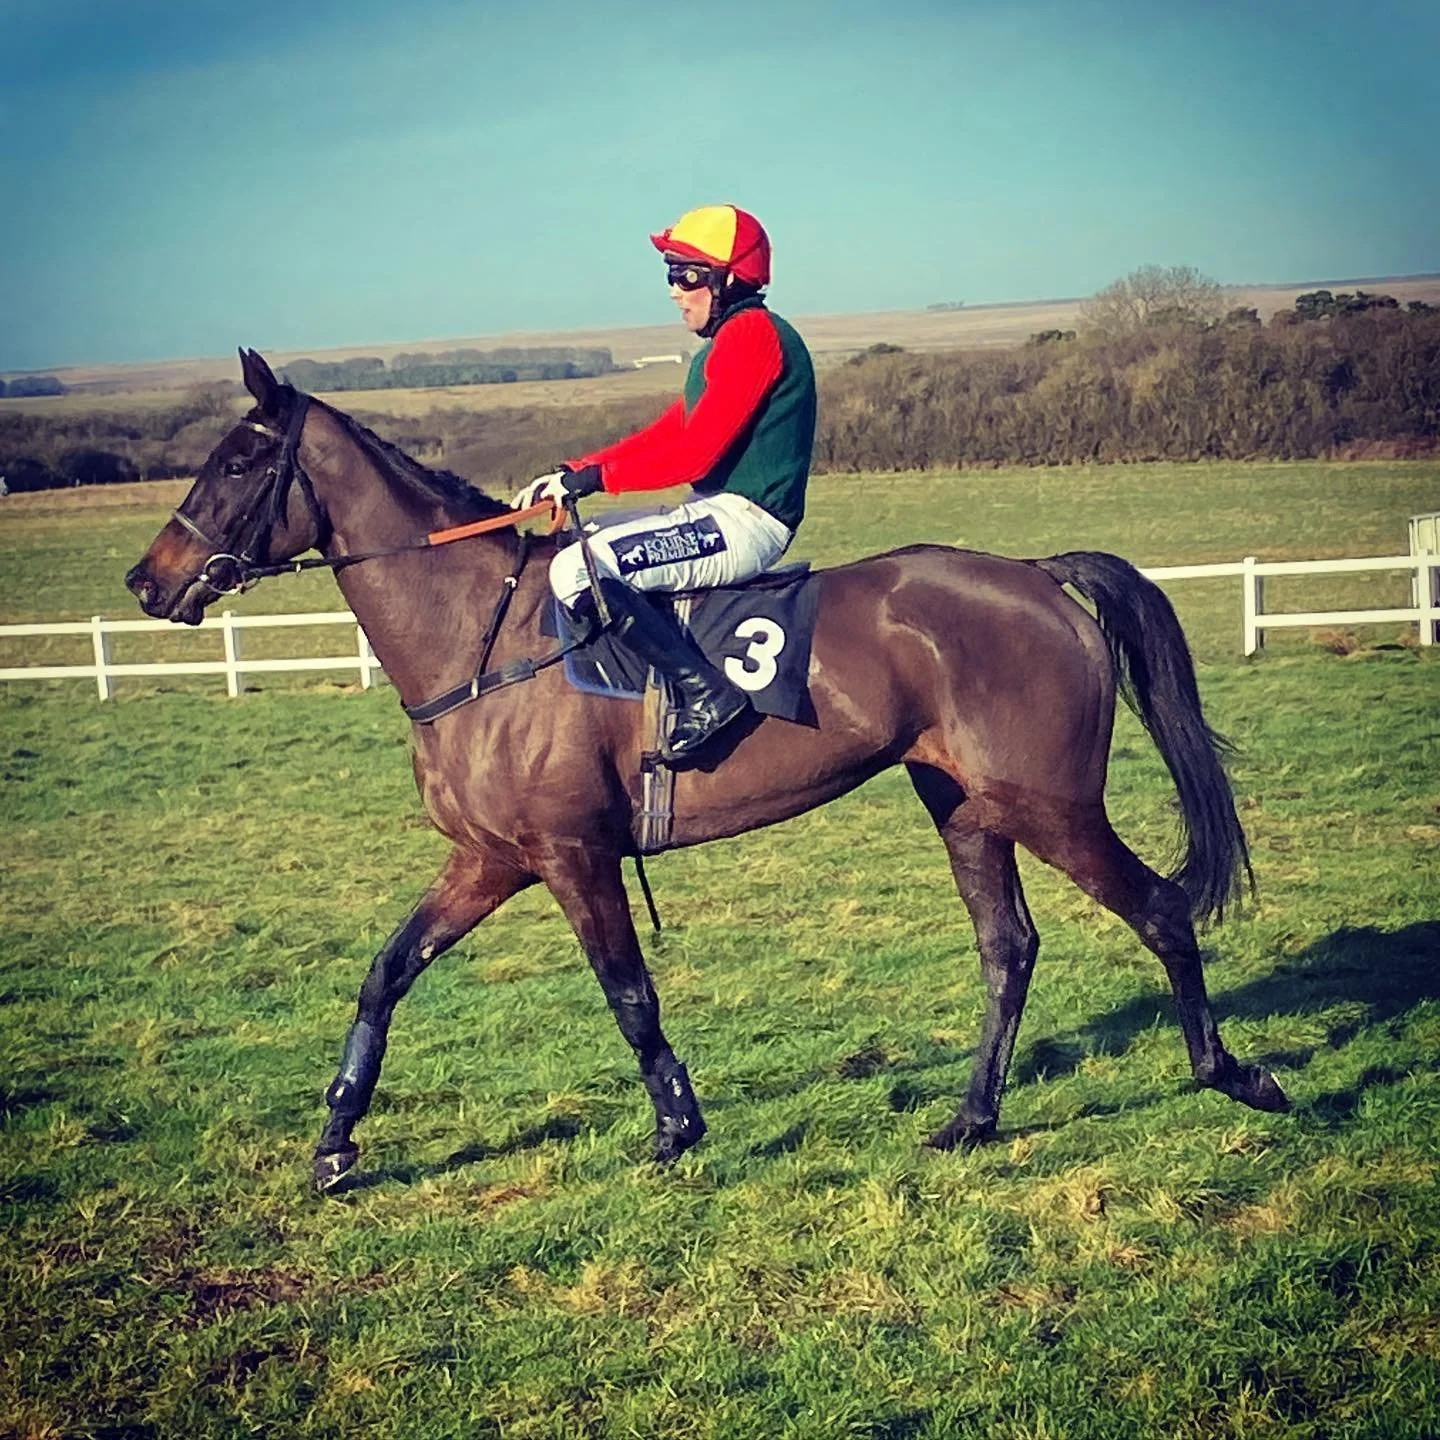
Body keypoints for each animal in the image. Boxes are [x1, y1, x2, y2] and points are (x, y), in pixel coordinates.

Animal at [126, 349, 1289, 1193]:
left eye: (238, 463)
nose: (146, 580)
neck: (479, 637)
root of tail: (1037, 577)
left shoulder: (572, 855)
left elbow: (629, 993)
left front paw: (678, 1127)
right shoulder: (489, 861)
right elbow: (387, 973)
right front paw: (335, 1144)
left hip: (1051, 806)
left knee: (1160, 910)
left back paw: (1232, 1074)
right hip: (967, 808)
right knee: (1010, 950)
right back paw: (970, 1119)